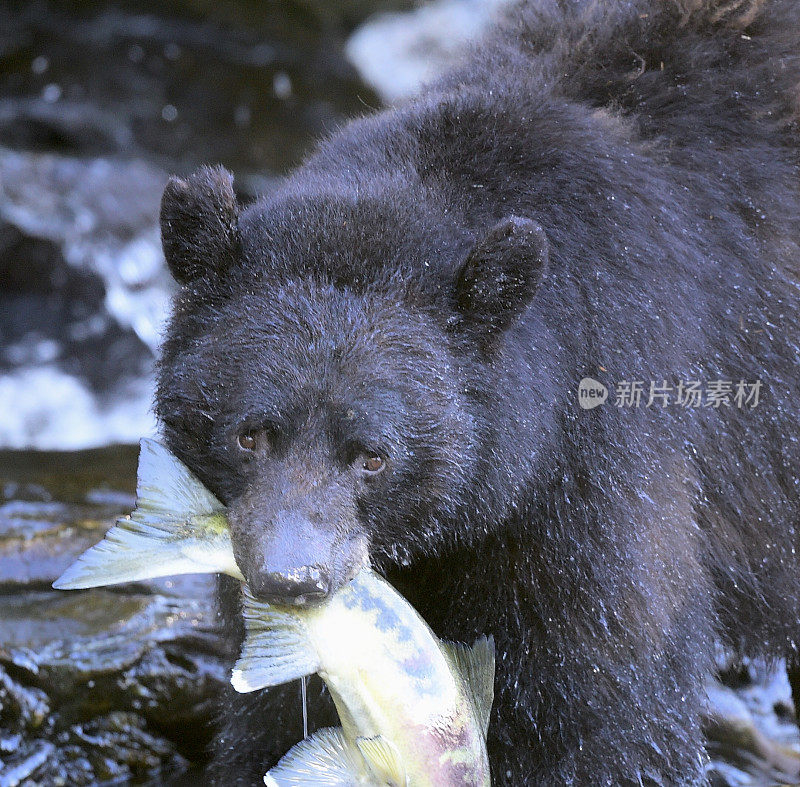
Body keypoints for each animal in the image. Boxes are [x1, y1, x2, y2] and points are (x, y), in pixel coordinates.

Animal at [153, 3, 800, 784]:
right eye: (250, 434)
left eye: (372, 455)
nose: (291, 577)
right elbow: (275, 710)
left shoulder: (596, 469)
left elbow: (605, 702)